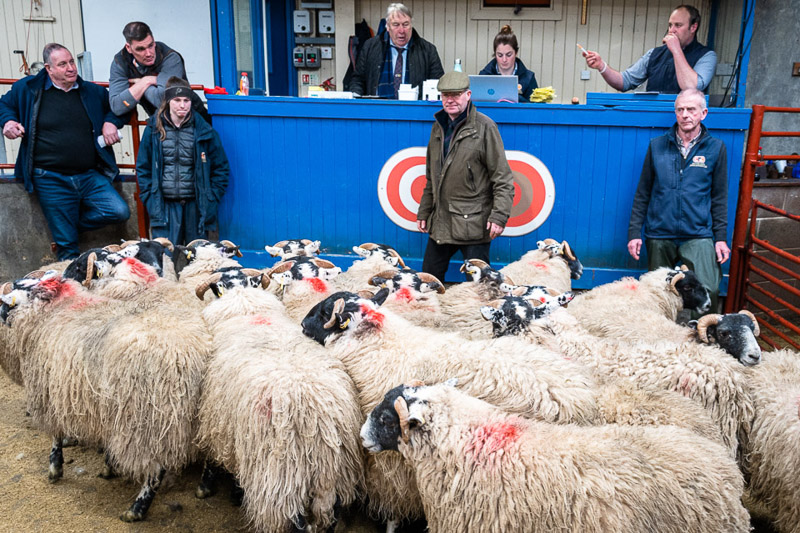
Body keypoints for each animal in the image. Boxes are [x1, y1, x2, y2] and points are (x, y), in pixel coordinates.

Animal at [0, 271, 211, 522]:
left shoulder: (50, 394)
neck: (58, 308)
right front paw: (109, 465)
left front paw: (55, 468)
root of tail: (192, 354)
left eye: (20, 291)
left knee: (156, 467)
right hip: (201, 414)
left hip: (149, 416)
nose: (1, 311)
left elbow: (56, 436)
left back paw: (137, 509)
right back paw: (204, 487)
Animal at [195, 268, 364, 532]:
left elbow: (213, 454)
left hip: (281, 473)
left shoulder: (217, 414)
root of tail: (317, 417)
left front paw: (207, 485)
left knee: (293, 519)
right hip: (336, 471)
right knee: (332, 512)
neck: (249, 310)